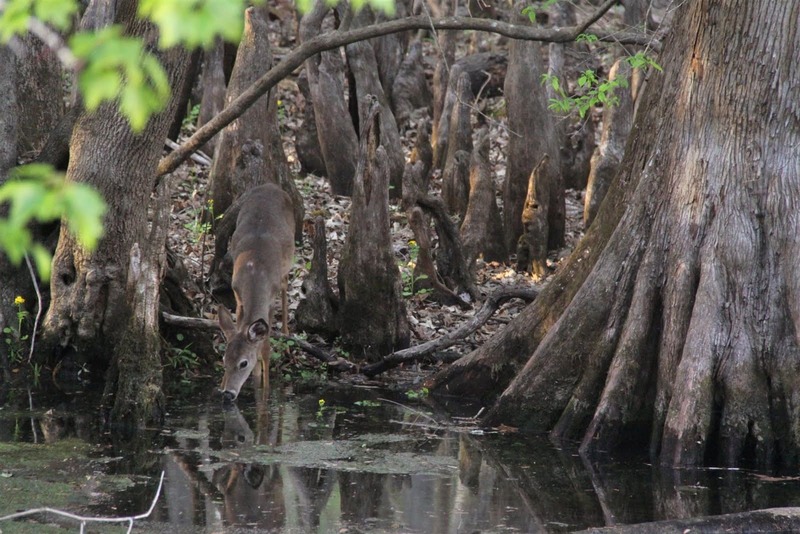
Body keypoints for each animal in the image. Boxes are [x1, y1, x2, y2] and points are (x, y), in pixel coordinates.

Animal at [217, 184, 296, 402]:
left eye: (243, 363)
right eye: (224, 360)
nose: (228, 394)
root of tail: (271, 186)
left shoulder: (269, 300)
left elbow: (266, 348)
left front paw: (265, 389)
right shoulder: (238, 295)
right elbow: (239, 327)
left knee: (286, 284)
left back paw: (287, 339)